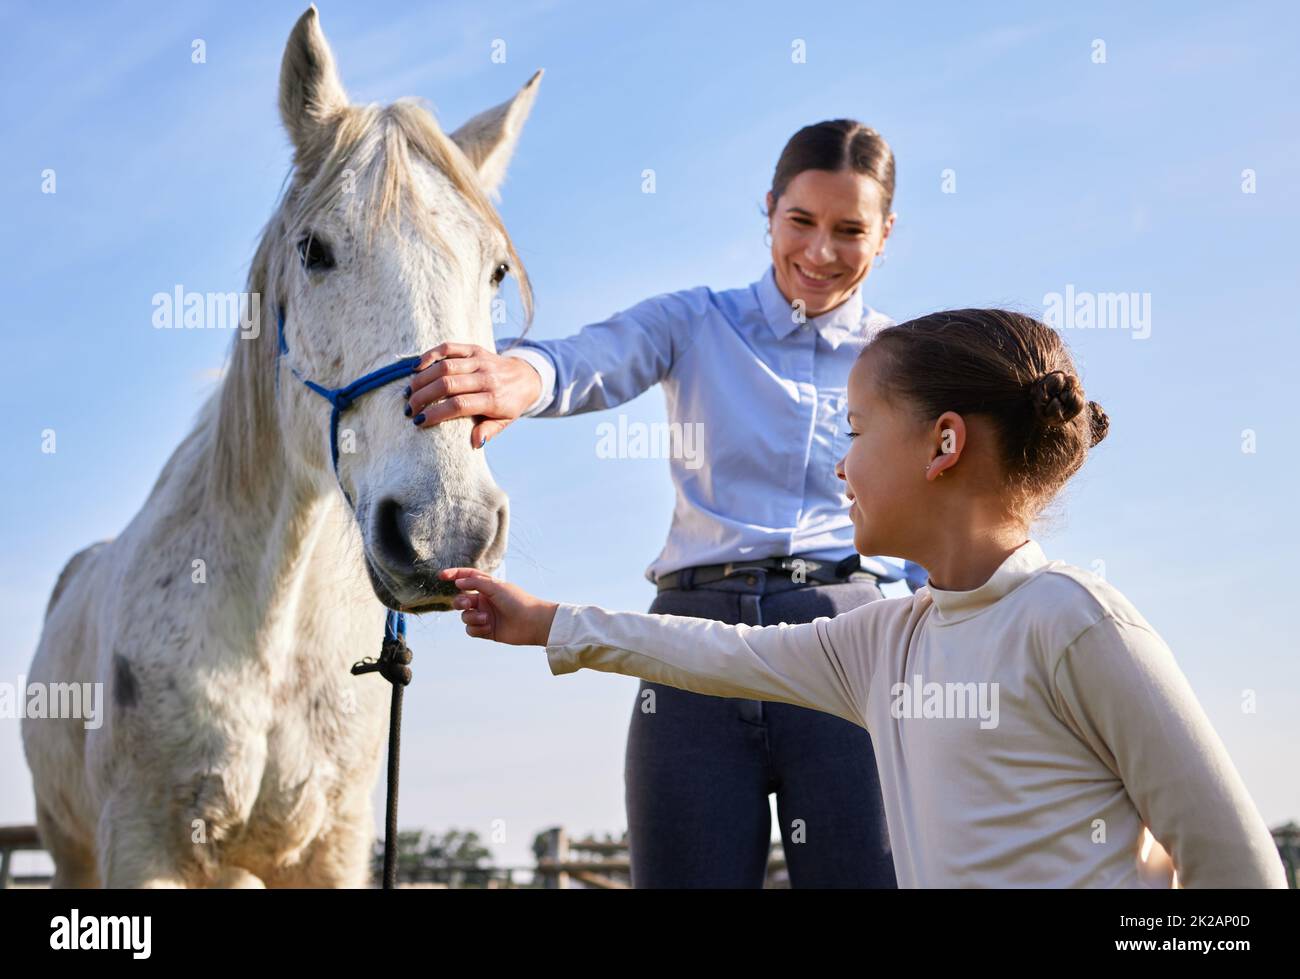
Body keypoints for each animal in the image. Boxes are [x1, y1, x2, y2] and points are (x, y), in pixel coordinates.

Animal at [24, 5, 543, 884]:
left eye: (497, 270)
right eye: (315, 249)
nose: (447, 530)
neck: (271, 627)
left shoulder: (330, 845)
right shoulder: (140, 844)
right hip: (72, 850)